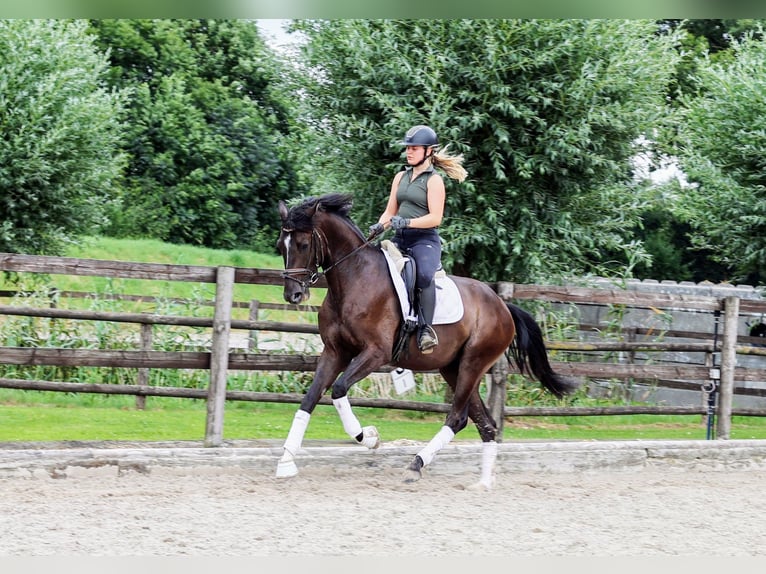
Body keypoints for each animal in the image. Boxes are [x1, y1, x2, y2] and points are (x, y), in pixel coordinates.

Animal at [276, 194, 584, 490]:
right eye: (281, 246)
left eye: (303, 244)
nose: (293, 295)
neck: (354, 279)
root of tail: (503, 306)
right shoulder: (334, 352)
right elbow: (309, 399)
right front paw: (286, 462)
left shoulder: (375, 354)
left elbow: (338, 390)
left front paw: (370, 437)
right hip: (454, 368)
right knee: (485, 424)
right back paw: (483, 483)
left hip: (473, 363)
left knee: (457, 418)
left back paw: (415, 466)